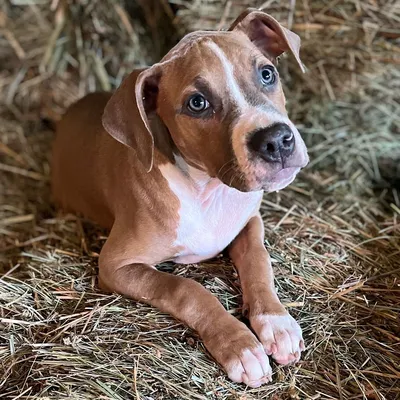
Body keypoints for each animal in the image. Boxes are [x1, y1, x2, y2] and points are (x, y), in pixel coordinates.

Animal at [51, 8, 310, 388]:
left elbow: (258, 261)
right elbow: (186, 289)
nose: (276, 140)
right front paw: (240, 346)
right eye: (197, 103)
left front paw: (276, 322)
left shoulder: (249, 221)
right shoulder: (116, 264)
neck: (208, 190)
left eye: (267, 73)